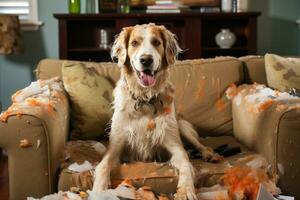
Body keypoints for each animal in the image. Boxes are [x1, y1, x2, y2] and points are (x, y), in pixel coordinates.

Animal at [92, 23, 221, 200]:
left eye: (156, 42)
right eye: (134, 43)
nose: (146, 60)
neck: (145, 99)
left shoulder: (175, 145)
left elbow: (186, 164)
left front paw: (186, 190)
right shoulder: (115, 147)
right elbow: (102, 166)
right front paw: (99, 190)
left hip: (182, 127)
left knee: (200, 145)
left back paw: (210, 155)